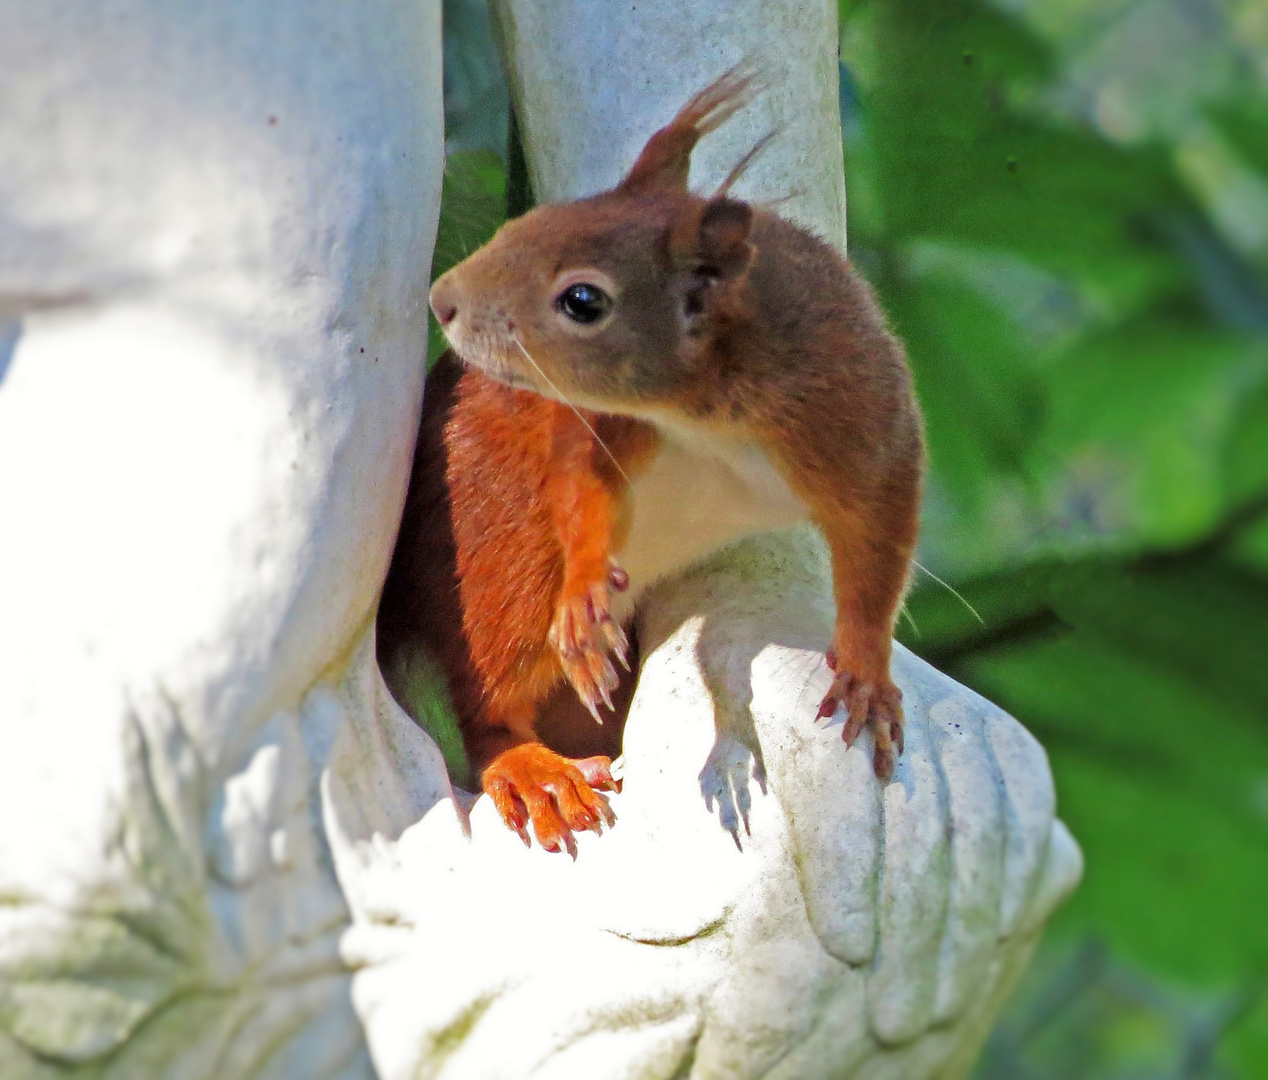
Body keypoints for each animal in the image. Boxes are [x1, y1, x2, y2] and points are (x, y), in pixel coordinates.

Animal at [375, 71, 923, 856]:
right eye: (529, 219)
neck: (708, 420)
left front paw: (868, 670)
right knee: (487, 706)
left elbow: (881, 537)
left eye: (583, 300)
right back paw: (532, 768)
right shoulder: (601, 425)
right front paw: (582, 596)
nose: (442, 299)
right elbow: (577, 485)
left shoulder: (860, 416)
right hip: (496, 567)